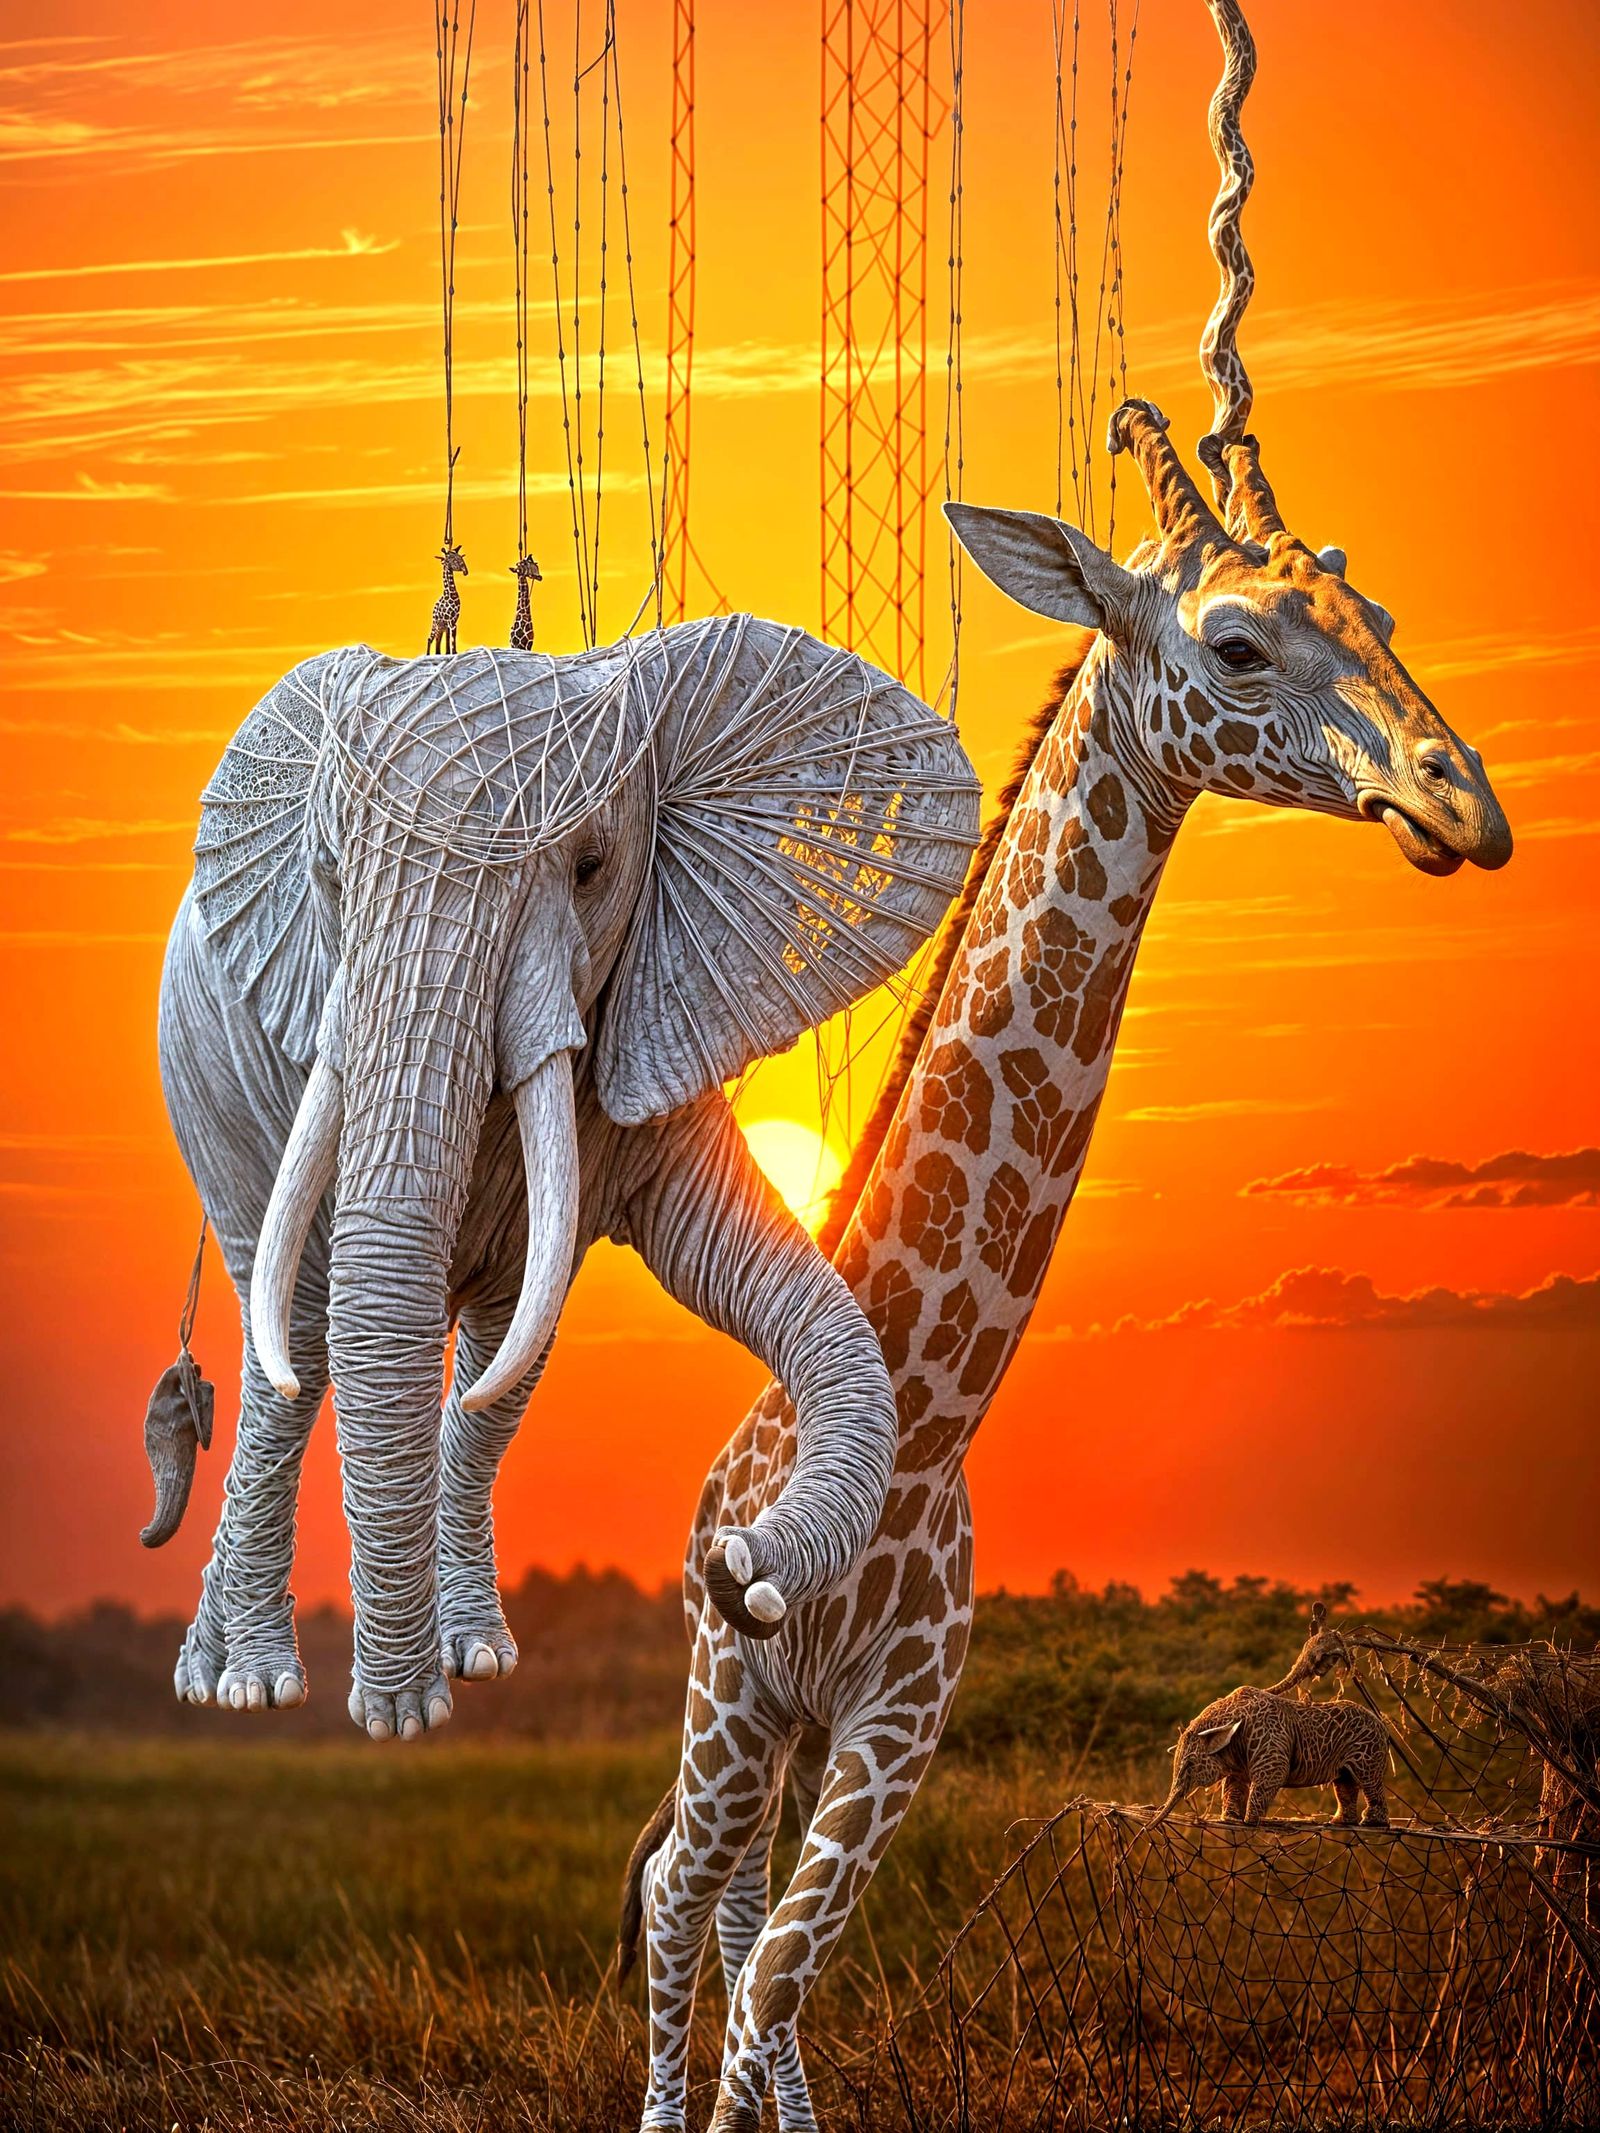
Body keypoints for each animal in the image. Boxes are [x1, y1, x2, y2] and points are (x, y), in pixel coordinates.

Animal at [146, 616, 981, 1740]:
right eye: (327, 876)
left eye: (589, 867)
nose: (737, 1570)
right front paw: (401, 1717)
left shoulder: (659, 997)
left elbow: (713, 1259)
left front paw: (433, 1691)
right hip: (209, 1093)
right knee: (298, 1348)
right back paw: (248, 1686)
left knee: (496, 1345)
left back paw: (458, 1657)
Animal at [1152, 1684, 1391, 1828]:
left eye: (1190, 1764)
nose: (1148, 1827)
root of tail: (1383, 1726)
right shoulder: (1238, 1757)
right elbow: (1234, 1783)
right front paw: (1230, 1819)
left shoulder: (1270, 1740)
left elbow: (1273, 1774)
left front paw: (1250, 1822)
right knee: (1344, 1782)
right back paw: (1339, 1822)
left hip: (1368, 1751)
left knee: (1368, 1780)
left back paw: (1370, 1823)